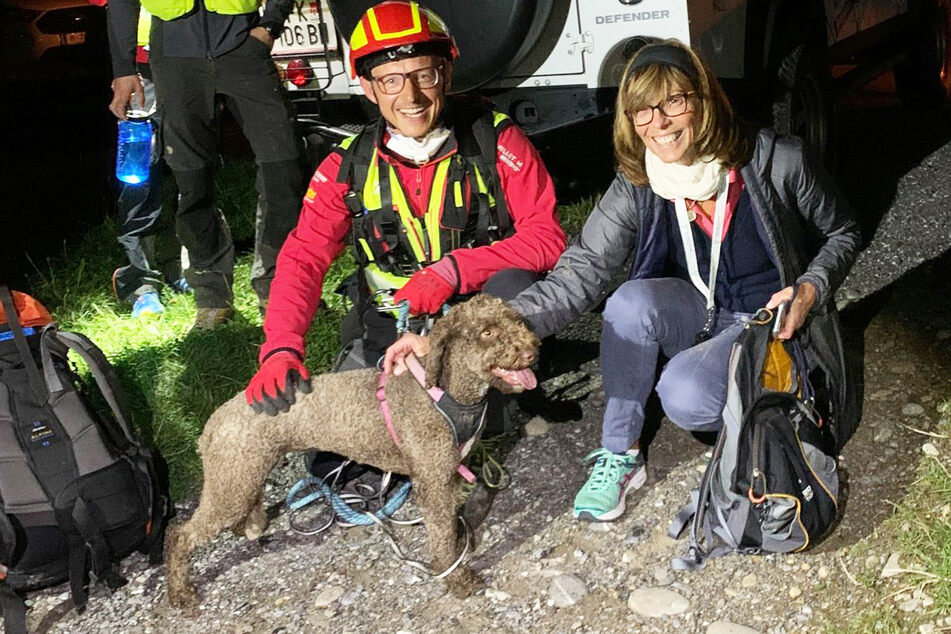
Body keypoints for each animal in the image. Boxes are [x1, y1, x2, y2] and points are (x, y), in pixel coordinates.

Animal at [165, 294, 544, 604]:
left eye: (517, 321)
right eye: (487, 333)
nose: (533, 350)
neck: (446, 393)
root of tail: (210, 425)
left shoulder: (446, 474)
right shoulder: (433, 482)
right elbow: (441, 540)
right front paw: (456, 578)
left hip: (242, 476)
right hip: (234, 482)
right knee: (180, 534)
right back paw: (180, 592)